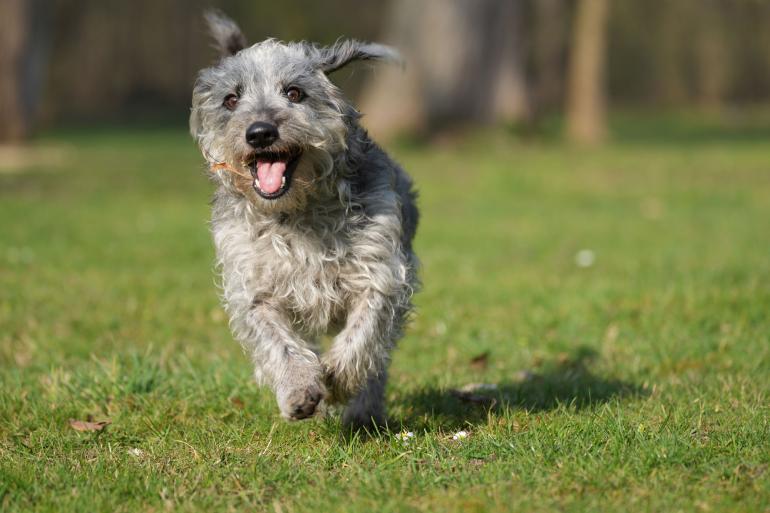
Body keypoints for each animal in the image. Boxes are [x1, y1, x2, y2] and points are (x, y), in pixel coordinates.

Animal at [188, 13, 416, 428]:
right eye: (231, 99)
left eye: (294, 93)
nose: (260, 132)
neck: (297, 214)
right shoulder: (254, 290)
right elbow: (278, 343)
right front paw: (299, 389)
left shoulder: (380, 272)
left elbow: (365, 331)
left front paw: (339, 379)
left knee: (378, 359)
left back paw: (363, 409)